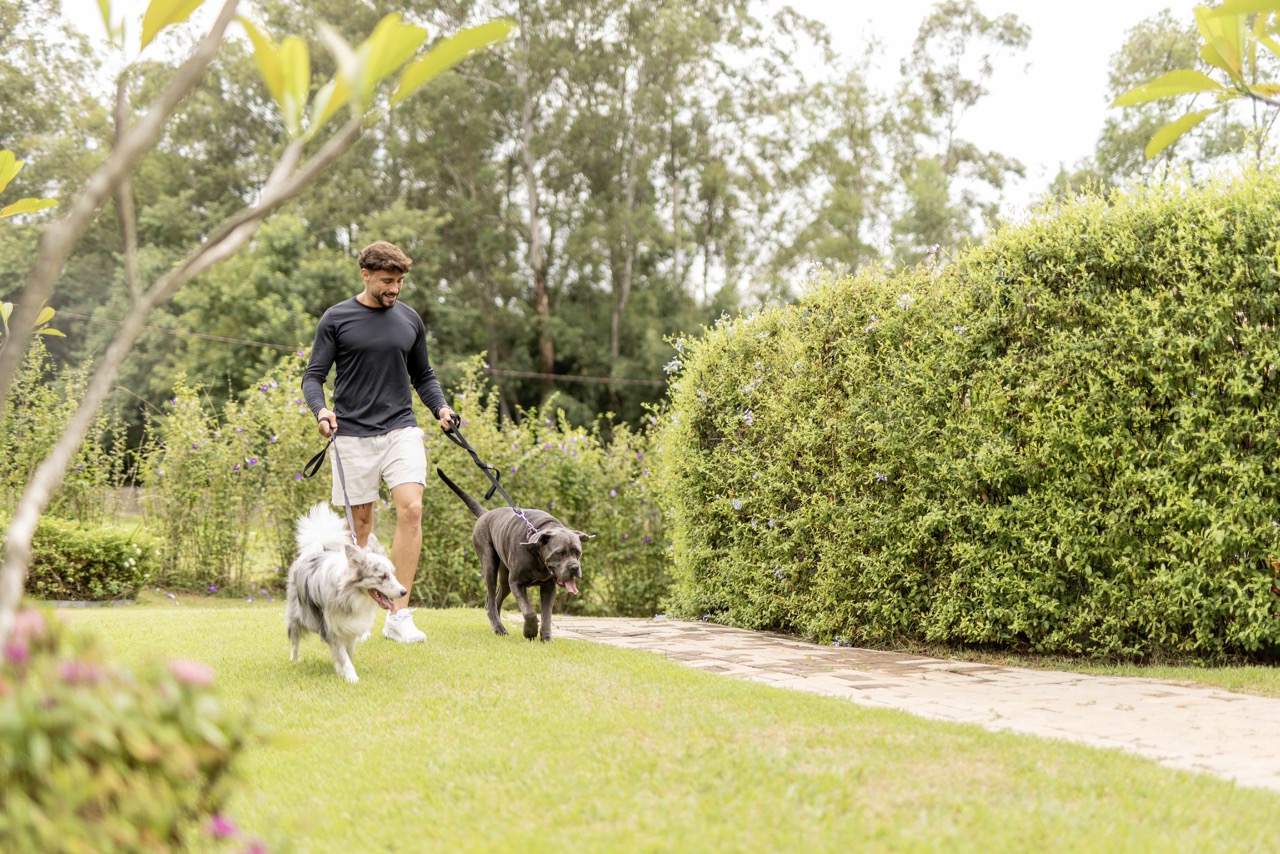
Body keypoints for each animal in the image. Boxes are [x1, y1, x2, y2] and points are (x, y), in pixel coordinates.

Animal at [285, 502, 406, 682]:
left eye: (393, 574)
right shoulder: (332, 628)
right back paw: (294, 660)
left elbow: (346, 653)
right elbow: (342, 656)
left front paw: (342, 671)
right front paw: (352, 678)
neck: (352, 594)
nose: (404, 591)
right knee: (295, 639)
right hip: (296, 614)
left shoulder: (350, 628)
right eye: (382, 576)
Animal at [437, 468, 593, 641]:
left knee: (495, 600)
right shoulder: (517, 582)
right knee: (490, 599)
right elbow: (529, 612)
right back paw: (499, 627)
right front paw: (530, 631)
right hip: (489, 565)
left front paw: (546, 638)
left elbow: (547, 615)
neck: (538, 555)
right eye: (559, 553)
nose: (574, 568)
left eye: (577, 552)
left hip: (505, 578)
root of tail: (485, 514)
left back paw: (497, 625)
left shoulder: (548, 587)